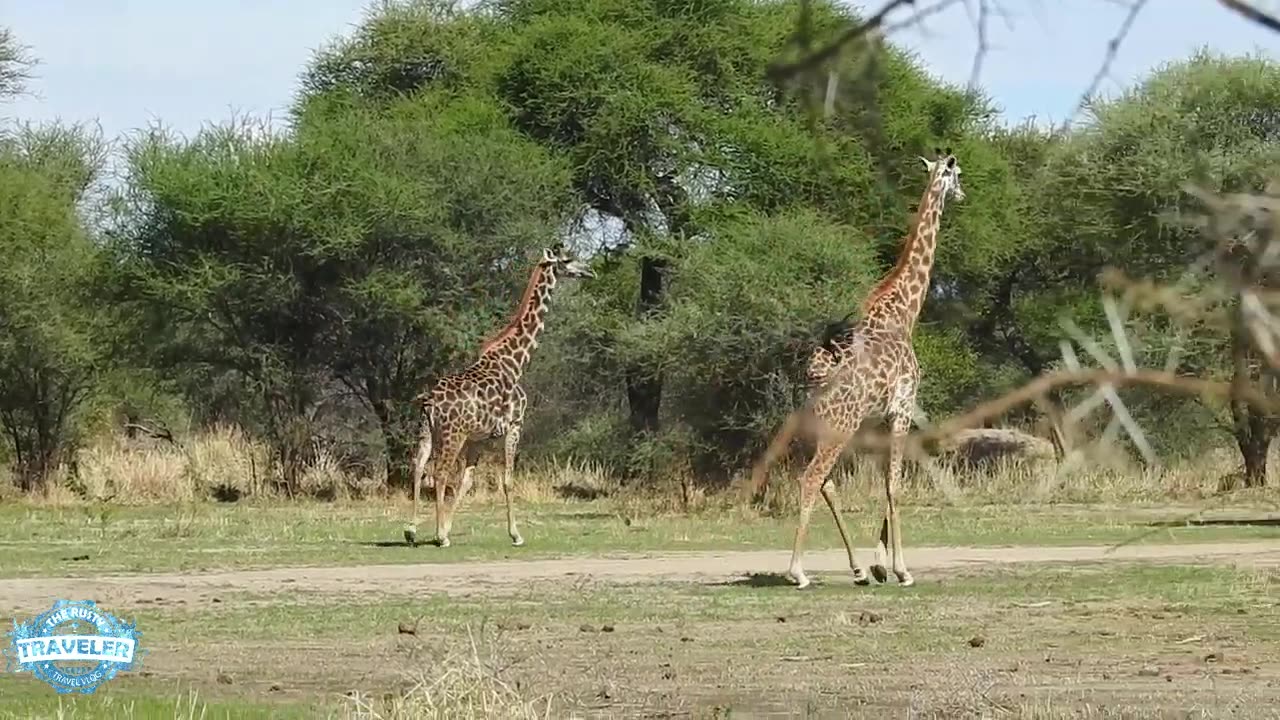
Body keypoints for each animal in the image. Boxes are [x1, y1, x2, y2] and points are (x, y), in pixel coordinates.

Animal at [401, 243, 596, 545]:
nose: (590, 271)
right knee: (440, 473)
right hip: (452, 434)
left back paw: (411, 530)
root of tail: (431, 402)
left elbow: (467, 480)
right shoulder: (515, 425)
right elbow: (507, 479)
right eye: (567, 260)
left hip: (426, 431)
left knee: (419, 465)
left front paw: (447, 525)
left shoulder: (478, 438)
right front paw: (515, 534)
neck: (516, 363)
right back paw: (439, 537)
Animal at [747, 147, 962, 589]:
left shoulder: (878, 418)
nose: (962, 194)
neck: (903, 313)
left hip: (819, 428)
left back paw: (857, 570)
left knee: (825, 482)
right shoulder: (903, 407)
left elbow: (885, 482)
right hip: (839, 427)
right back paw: (798, 572)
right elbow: (895, 485)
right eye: (958, 174)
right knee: (812, 479)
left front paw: (878, 565)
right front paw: (901, 569)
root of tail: (813, 376)